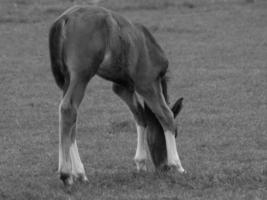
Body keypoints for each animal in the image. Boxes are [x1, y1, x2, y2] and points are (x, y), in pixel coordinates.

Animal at [48, 4, 186, 186]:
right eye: (176, 133)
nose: (163, 168)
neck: (147, 46)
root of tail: (65, 18)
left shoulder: (123, 87)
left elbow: (140, 116)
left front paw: (140, 162)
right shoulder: (147, 83)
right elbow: (165, 115)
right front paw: (177, 165)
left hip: (67, 78)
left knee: (71, 118)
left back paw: (79, 173)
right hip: (81, 75)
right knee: (68, 109)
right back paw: (66, 174)